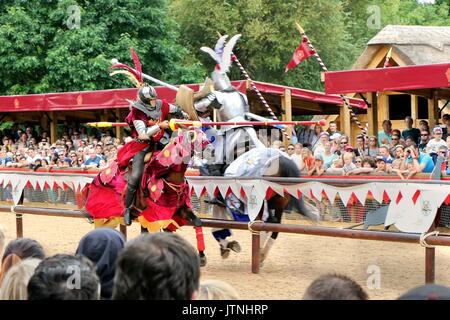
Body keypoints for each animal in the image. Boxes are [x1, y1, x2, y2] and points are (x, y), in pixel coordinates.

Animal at [84, 127, 211, 264]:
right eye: (193, 136)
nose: (211, 150)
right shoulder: (159, 217)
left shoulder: (180, 210)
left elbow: (197, 222)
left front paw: (202, 256)